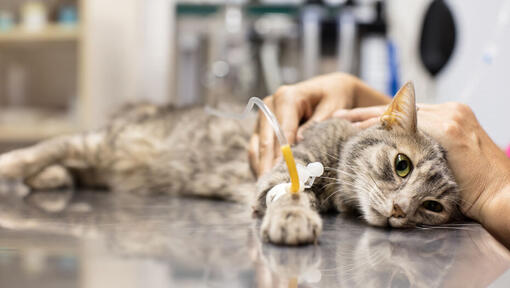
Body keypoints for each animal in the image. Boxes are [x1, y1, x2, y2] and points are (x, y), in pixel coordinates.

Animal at [0, 81, 458, 245]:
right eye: (402, 165)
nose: (400, 211)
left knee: (71, 164)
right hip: (104, 143)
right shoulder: (289, 168)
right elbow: (292, 195)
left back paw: (53, 178)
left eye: (432, 206)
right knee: (48, 148)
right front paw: (294, 219)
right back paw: (18, 165)